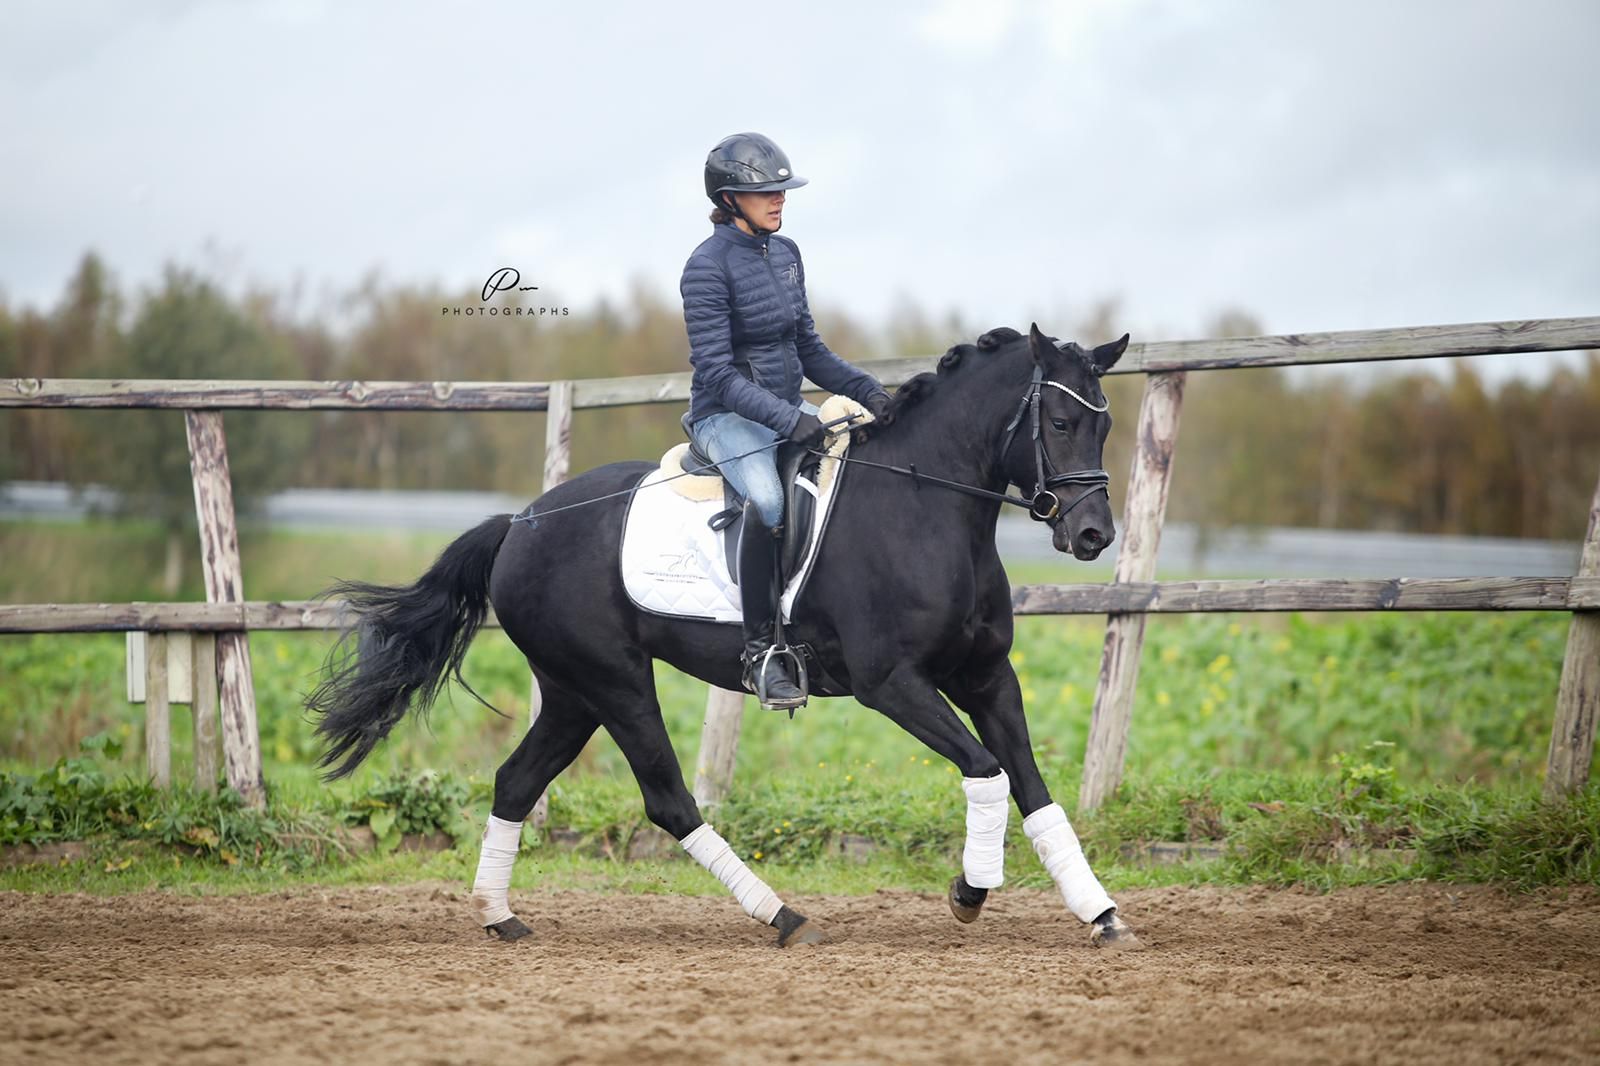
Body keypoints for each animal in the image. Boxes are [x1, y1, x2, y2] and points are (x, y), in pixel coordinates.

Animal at [306, 322, 1142, 951]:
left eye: (1104, 423)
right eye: (1060, 422)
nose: (1093, 534)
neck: (923, 503)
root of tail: (518, 524)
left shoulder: (987, 677)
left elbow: (1033, 789)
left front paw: (1100, 913)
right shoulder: (893, 685)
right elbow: (986, 772)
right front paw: (970, 891)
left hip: (573, 694)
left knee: (516, 782)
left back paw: (500, 916)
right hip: (615, 682)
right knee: (669, 800)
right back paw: (783, 916)